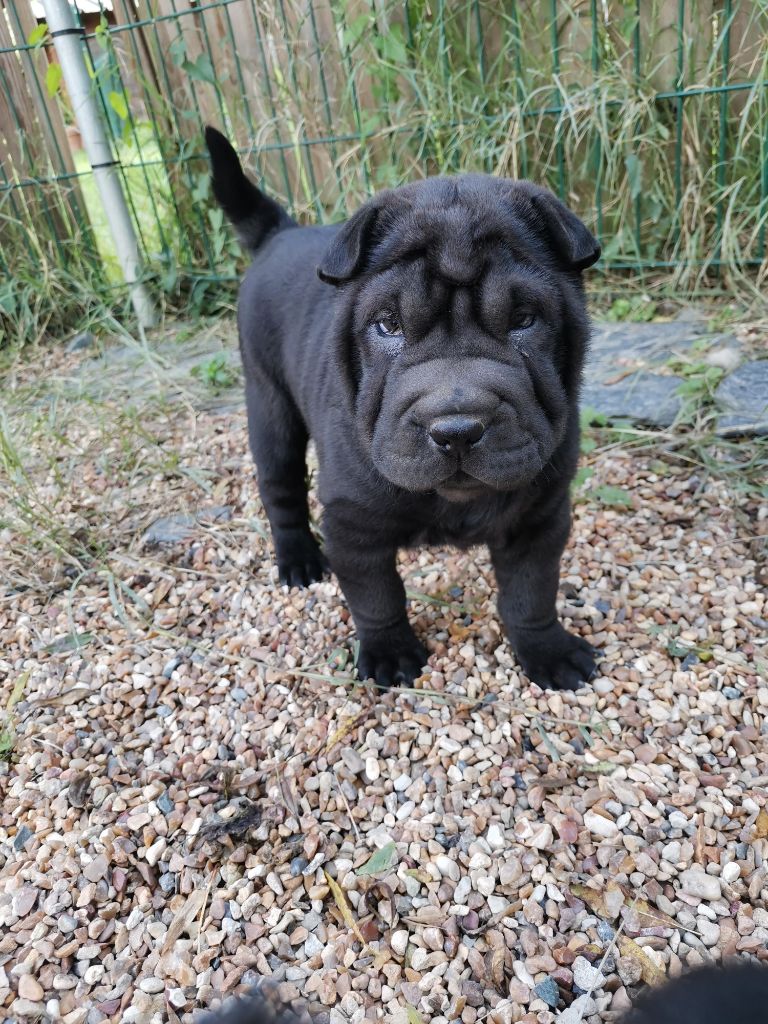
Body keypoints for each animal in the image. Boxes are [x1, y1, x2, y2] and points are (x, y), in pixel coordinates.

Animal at [207, 125, 606, 688]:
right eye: (388, 325)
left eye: (523, 320)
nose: (457, 429)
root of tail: (280, 234)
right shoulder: (352, 523)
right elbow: (376, 596)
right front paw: (390, 653)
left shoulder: (540, 517)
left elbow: (531, 593)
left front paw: (548, 652)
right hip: (269, 406)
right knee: (279, 488)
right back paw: (299, 561)